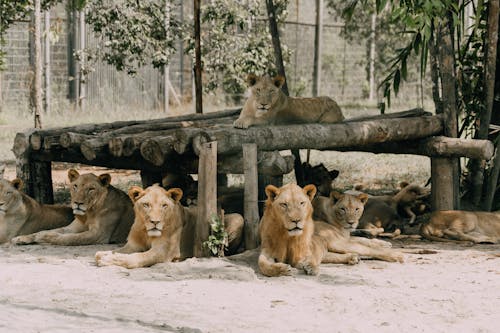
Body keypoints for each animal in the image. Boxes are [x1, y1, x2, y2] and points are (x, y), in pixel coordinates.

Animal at [95, 183, 244, 268]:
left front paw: (107, 258)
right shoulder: (133, 245)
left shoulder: (162, 251)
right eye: (146, 205)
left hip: (238, 218)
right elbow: (118, 251)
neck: (146, 232)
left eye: (164, 205)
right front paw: (104, 254)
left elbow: (135, 258)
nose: (155, 222)